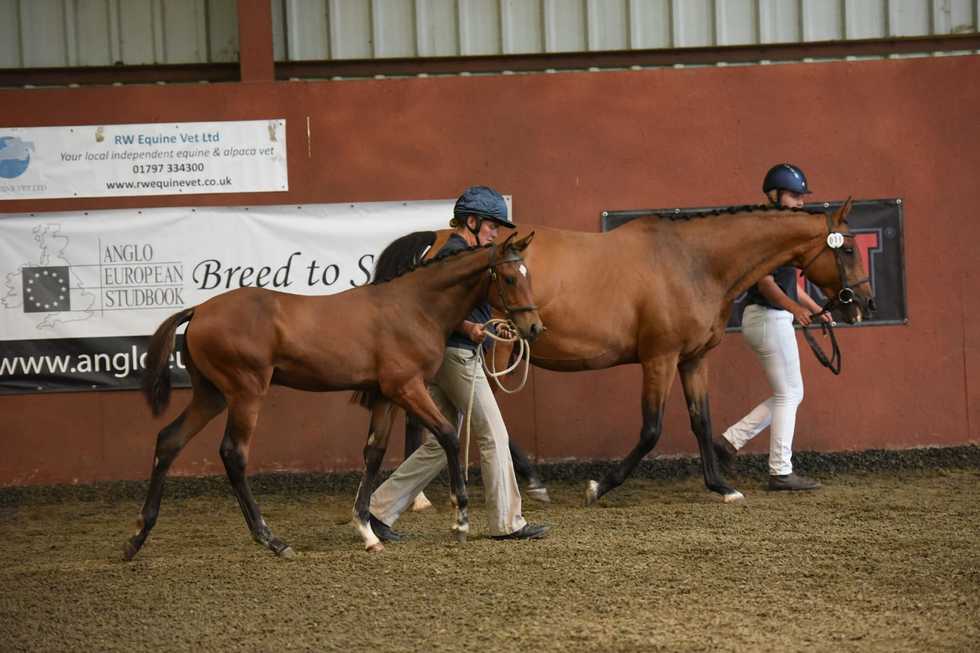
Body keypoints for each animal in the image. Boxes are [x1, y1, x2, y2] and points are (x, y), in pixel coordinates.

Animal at [123, 232, 543, 559]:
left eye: (527, 273)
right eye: (508, 277)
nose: (534, 327)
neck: (413, 307)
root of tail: (198, 310)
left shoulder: (386, 395)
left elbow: (374, 453)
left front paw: (368, 531)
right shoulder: (407, 387)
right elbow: (449, 436)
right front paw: (461, 520)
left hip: (211, 396)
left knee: (169, 440)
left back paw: (138, 536)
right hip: (246, 393)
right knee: (232, 454)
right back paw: (271, 539)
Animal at [383, 200, 874, 505]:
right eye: (849, 247)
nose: (863, 305)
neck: (691, 261)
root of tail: (434, 239)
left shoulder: (693, 359)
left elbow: (701, 421)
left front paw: (720, 485)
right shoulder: (660, 358)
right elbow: (651, 429)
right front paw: (600, 486)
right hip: (500, 348)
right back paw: (529, 482)